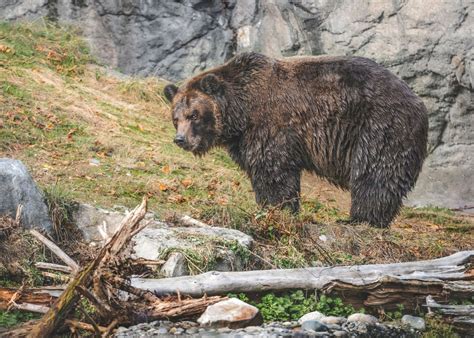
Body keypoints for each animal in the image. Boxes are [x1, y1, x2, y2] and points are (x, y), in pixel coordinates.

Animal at [164, 52, 430, 227]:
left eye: (194, 114)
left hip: (379, 126)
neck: (242, 111)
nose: (181, 139)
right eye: (176, 117)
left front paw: (277, 208)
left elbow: (274, 171)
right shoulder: (244, 139)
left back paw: (359, 219)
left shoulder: (272, 126)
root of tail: (418, 102)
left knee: (374, 173)